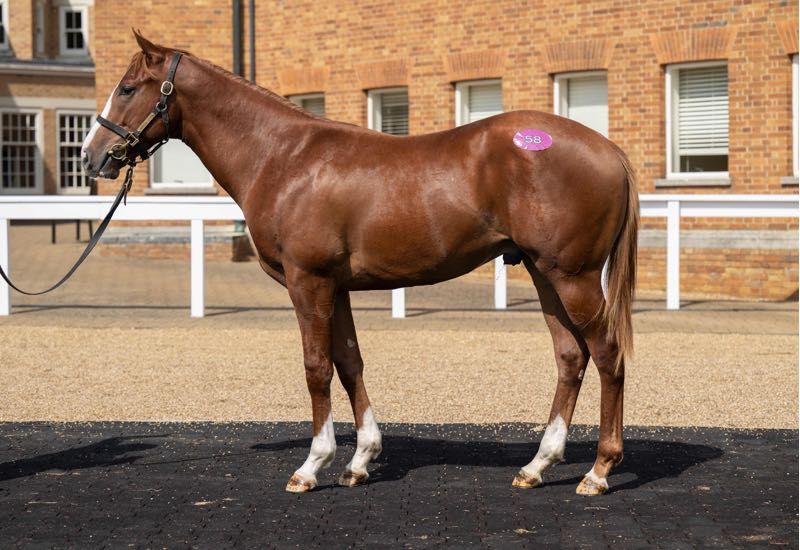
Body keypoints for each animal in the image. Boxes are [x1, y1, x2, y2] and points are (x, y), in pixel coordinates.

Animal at [81, 32, 638, 496]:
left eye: (128, 88)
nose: (92, 157)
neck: (283, 157)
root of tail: (609, 149)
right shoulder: (338, 286)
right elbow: (349, 363)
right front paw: (360, 460)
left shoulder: (308, 282)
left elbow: (316, 368)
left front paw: (312, 466)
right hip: (545, 275)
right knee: (570, 357)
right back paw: (537, 466)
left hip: (573, 278)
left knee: (607, 355)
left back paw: (598, 471)